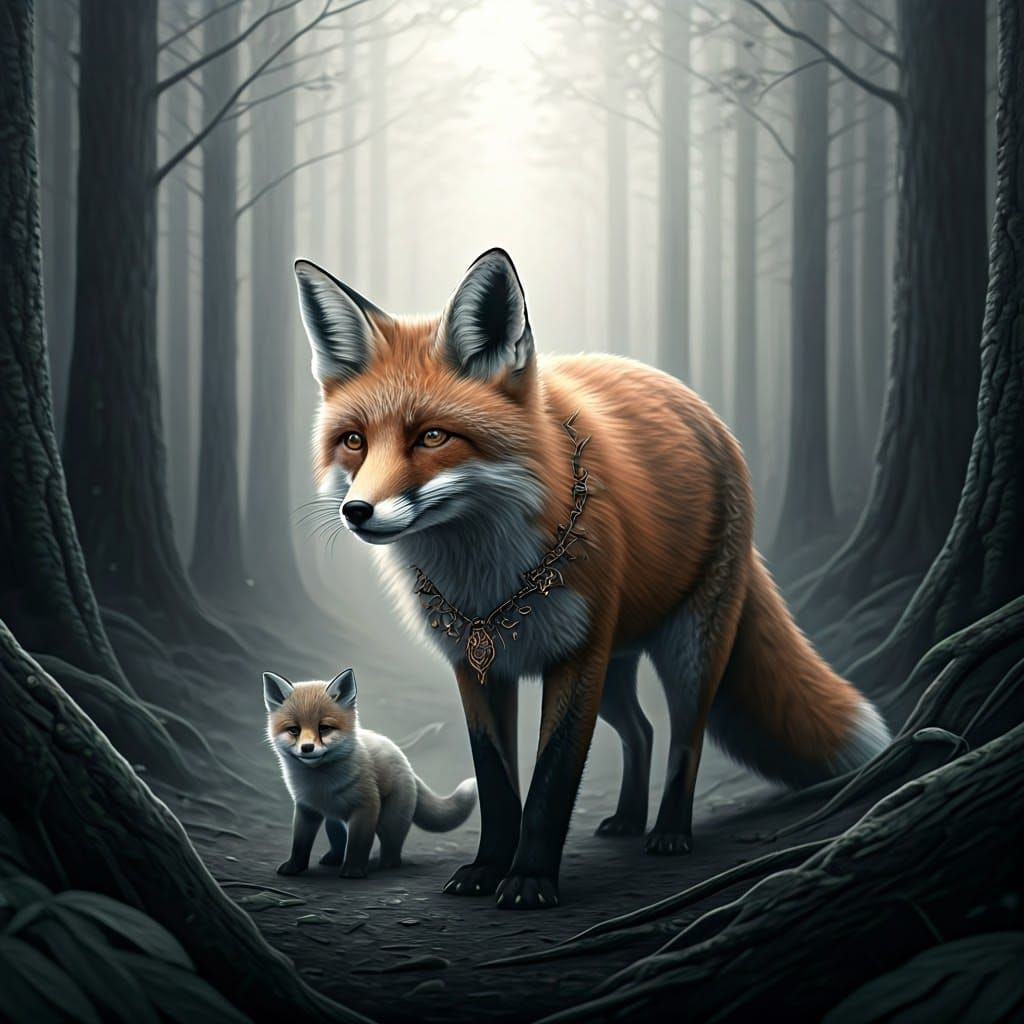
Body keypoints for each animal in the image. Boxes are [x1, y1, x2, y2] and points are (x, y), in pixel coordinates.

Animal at [263, 668, 477, 878]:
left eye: (324, 728)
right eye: (294, 730)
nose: (307, 748)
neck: (321, 784)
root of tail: (405, 762)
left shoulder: (367, 807)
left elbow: (358, 844)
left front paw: (353, 871)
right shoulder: (306, 809)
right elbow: (300, 844)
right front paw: (293, 868)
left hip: (389, 821)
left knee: (392, 848)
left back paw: (385, 865)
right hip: (335, 819)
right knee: (339, 839)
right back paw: (334, 859)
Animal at [291, 247, 891, 909]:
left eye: (432, 437)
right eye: (354, 442)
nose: (356, 512)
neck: (491, 582)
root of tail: (696, 405)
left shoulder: (576, 661)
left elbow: (551, 781)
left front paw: (529, 880)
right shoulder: (477, 667)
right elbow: (498, 785)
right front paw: (487, 867)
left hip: (684, 650)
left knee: (685, 738)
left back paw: (669, 832)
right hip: (617, 663)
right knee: (643, 731)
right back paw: (628, 818)